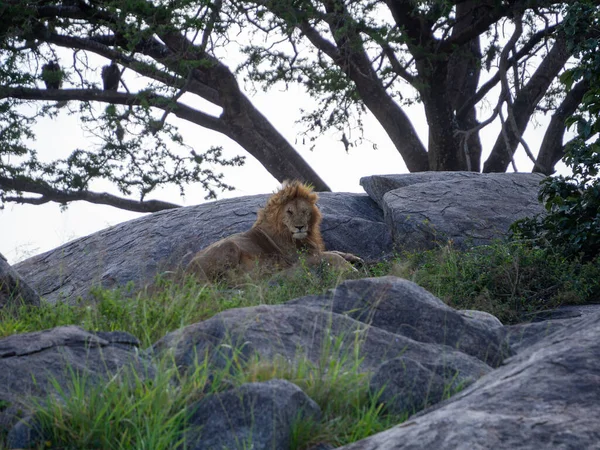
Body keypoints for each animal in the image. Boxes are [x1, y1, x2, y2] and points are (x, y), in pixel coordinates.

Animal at [185, 179, 360, 282]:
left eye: (305, 211)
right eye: (289, 212)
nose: (300, 227)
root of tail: (186, 272)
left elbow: (334, 251)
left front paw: (354, 257)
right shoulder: (299, 258)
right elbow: (330, 255)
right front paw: (350, 268)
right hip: (229, 246)